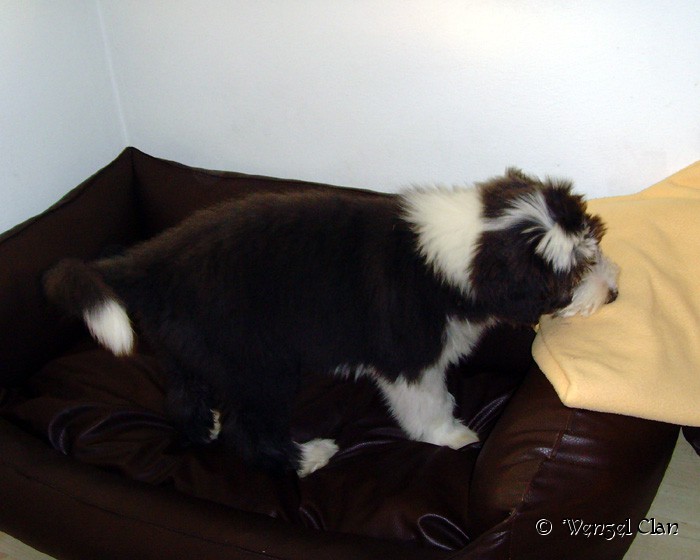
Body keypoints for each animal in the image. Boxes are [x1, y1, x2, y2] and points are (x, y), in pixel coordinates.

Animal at [43, 168, 619, 477]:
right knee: (248, 431)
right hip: (262, 365)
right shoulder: (409, 356)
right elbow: (428, 401)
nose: (614, 293)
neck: (463, 250)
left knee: (183, 399)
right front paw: (450, 435)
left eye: (594, 241)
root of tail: (150, 260)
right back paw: (307, 458)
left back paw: (203, 427)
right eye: (573, 272)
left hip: (189, 350)